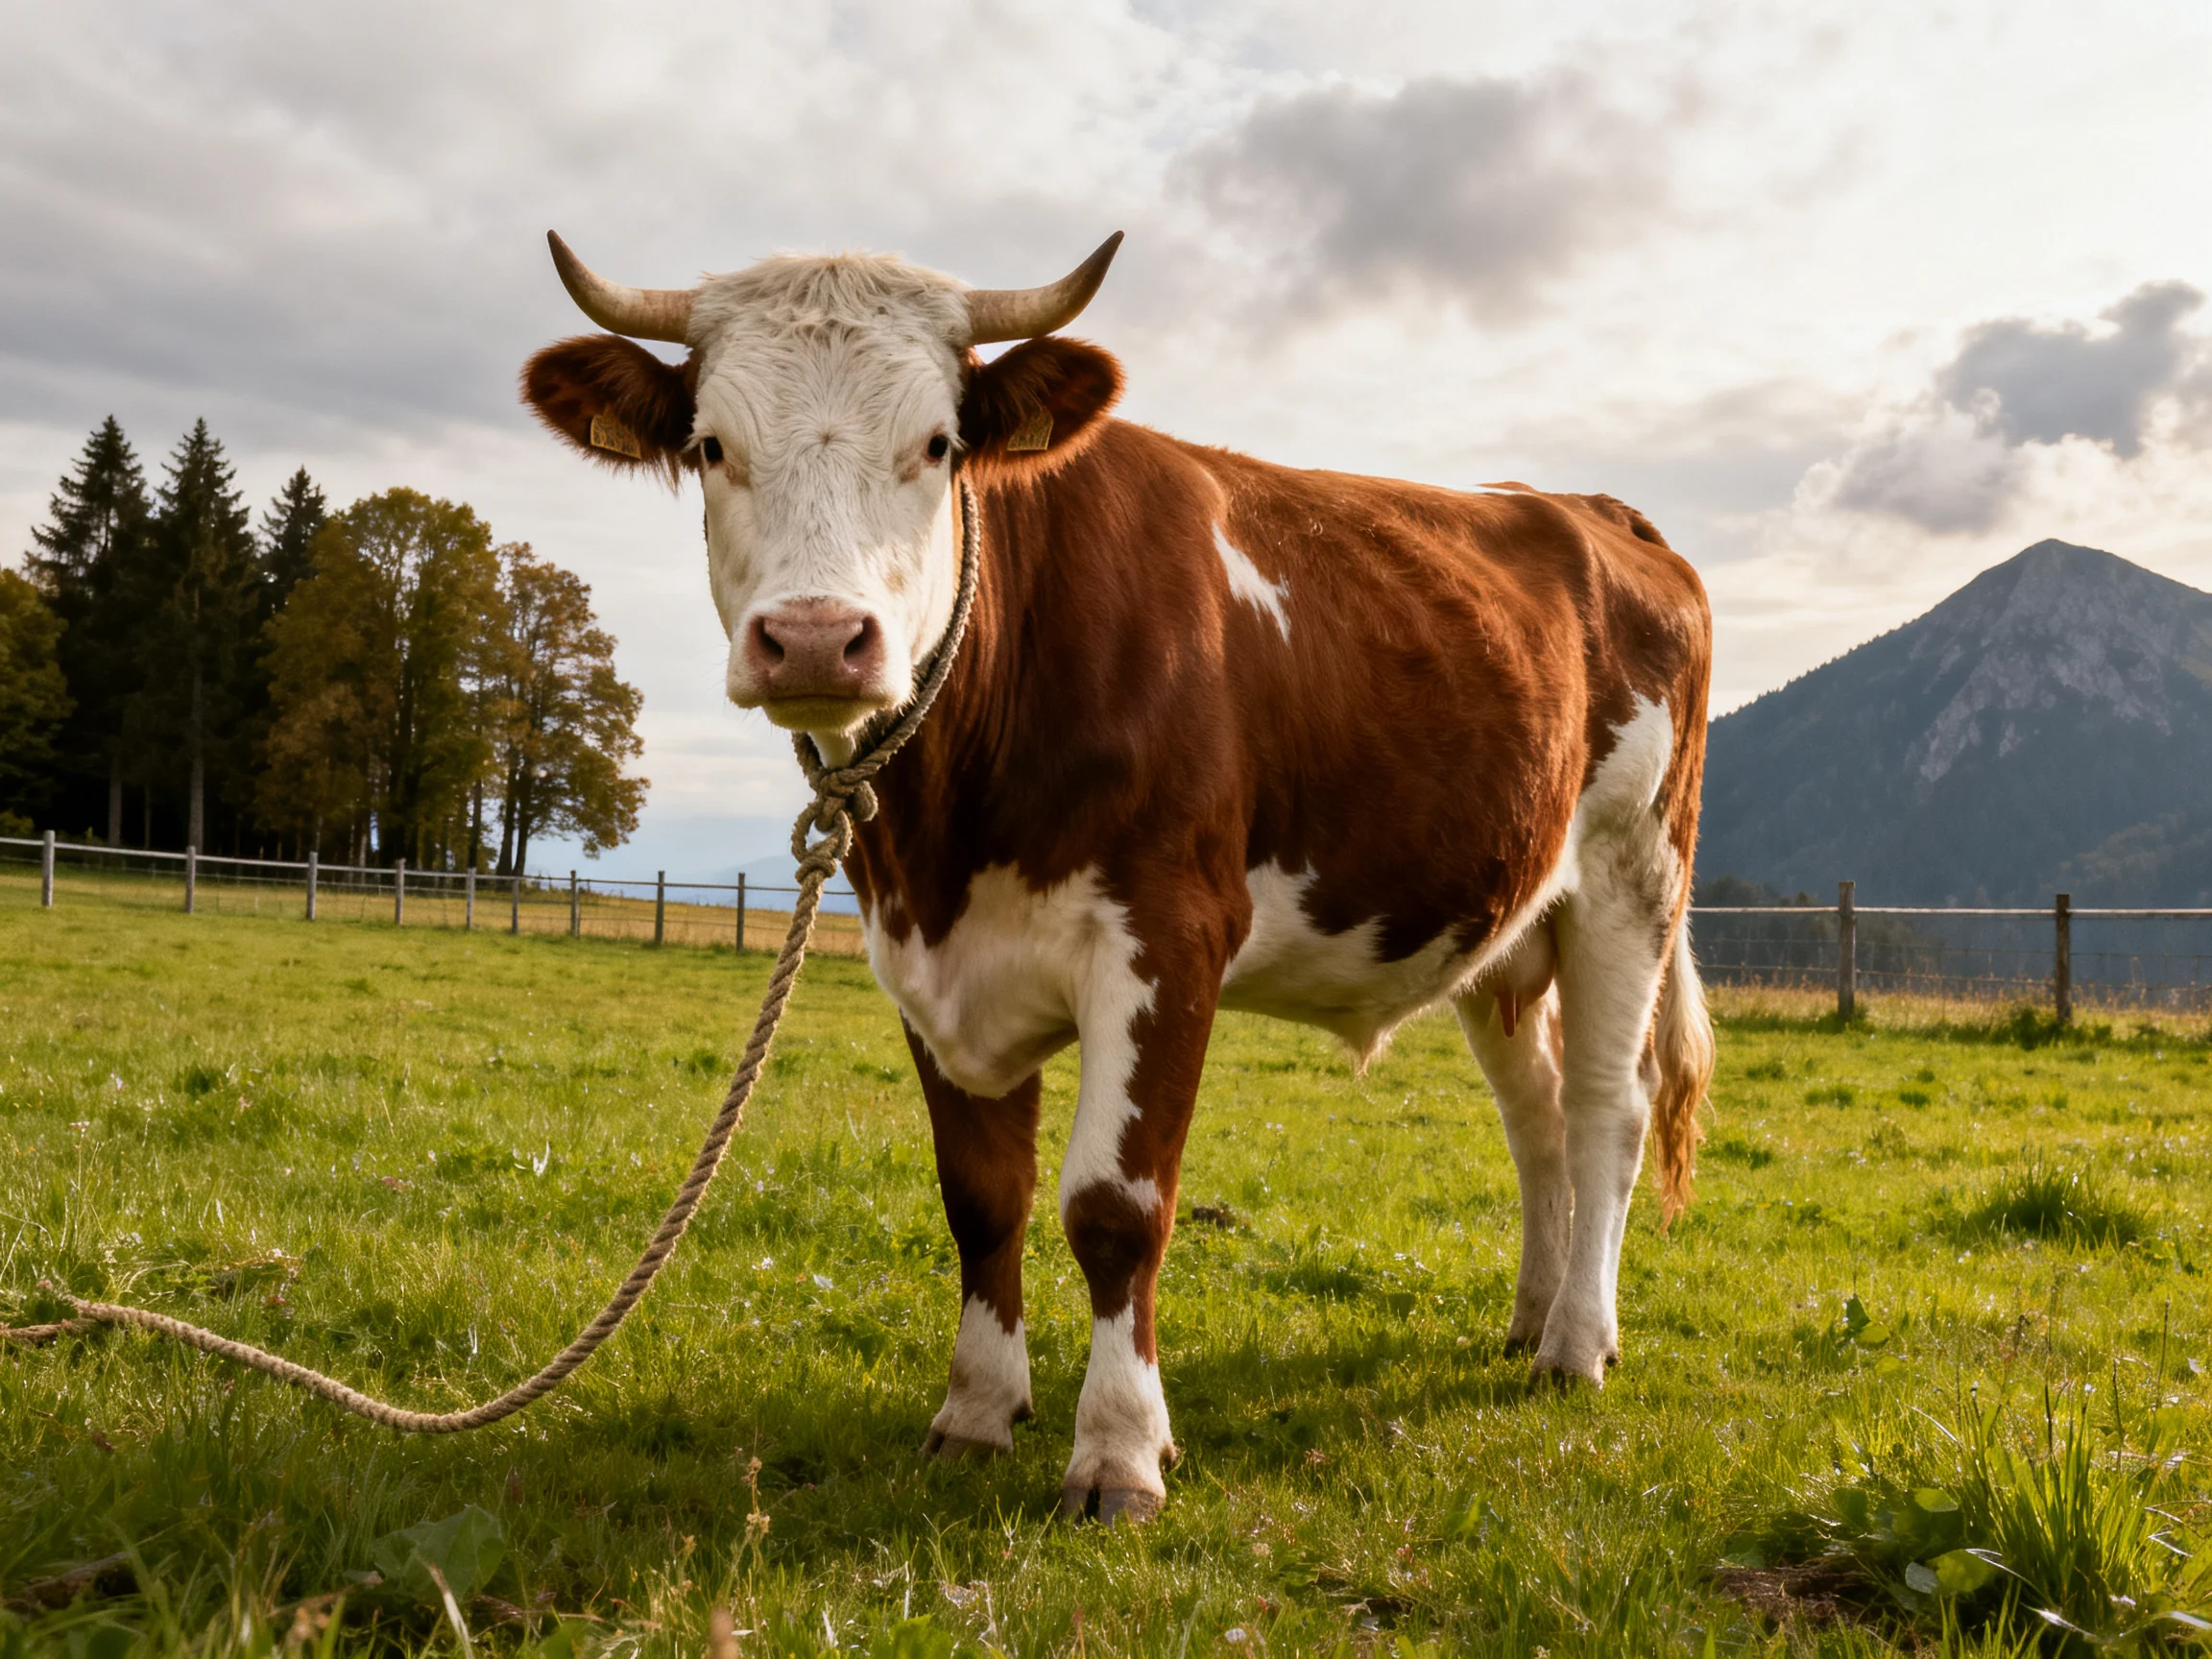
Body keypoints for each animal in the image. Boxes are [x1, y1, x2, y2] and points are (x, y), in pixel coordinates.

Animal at [521, 231, 1716, 1524]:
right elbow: (979, 1196)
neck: (950, 822)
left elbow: (1115, 1207)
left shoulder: (1169, 937)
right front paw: (976, 1414)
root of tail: (1591, 511)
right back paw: (1530, 1317)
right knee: (1535, 1116)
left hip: (1632, 875)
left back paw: (1575, 1347)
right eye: (709, 446)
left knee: (1605, 1110)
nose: (816, 639)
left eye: (937, 445)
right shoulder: (922, 954)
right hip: (1504, 926)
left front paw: (1119, 1454)